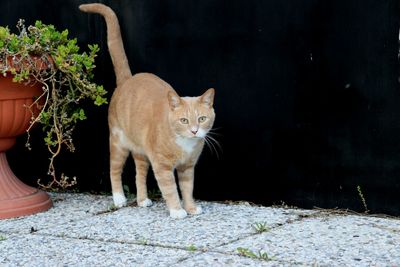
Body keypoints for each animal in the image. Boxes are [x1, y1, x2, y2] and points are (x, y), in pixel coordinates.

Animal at [79, 3, 216, 219]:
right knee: (114, 170)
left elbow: (187, 189)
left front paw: (191, 207)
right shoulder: (162, 167)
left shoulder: (187, 168)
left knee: (140, 174)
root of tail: (128, 79)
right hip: (118, 143)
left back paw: (142, 200)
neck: (185, 144)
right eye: (184, 120)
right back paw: (119, 198)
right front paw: (177, 210)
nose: (194, 131)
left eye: (202, 118)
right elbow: (171, 189)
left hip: (141, 153)